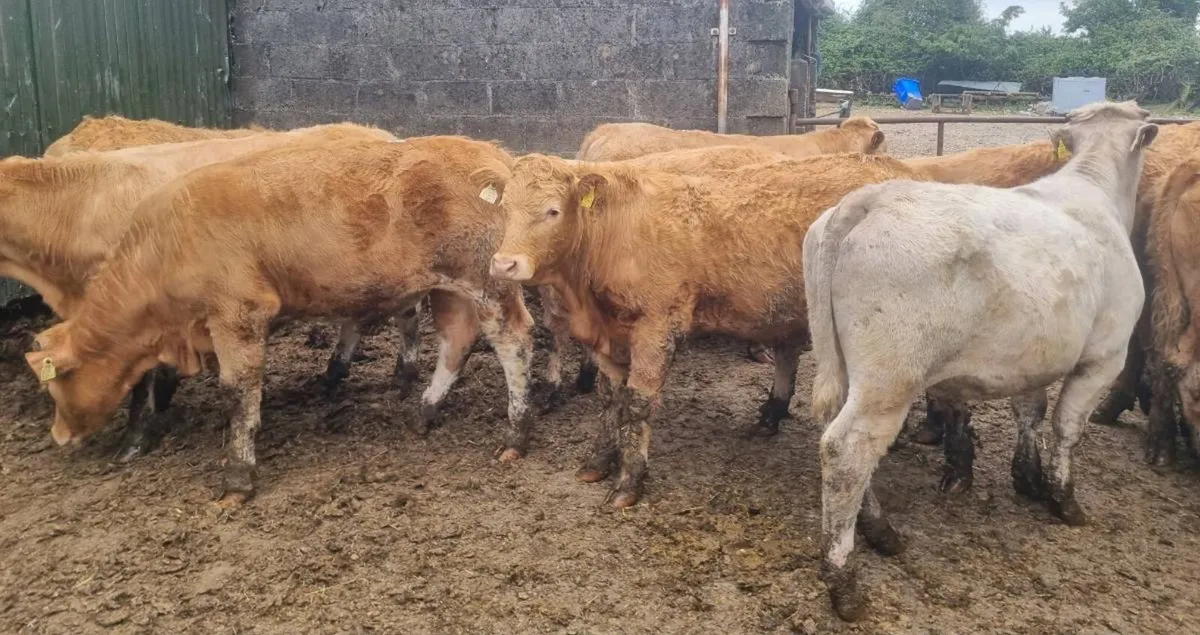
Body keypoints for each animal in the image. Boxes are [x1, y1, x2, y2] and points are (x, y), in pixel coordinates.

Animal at [804, 101, 1156, 621]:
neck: (1093, 190)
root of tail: (868, 199)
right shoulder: (1104, 356)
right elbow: (1067, 427)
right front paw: (1064, 499)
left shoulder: (1036, 355)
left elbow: (1029, 411)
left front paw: (1028, 479)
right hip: (889, 378)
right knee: (846, 450)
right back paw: (844, 580)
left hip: (839, 363)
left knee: (835, 431)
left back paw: (879, 531)